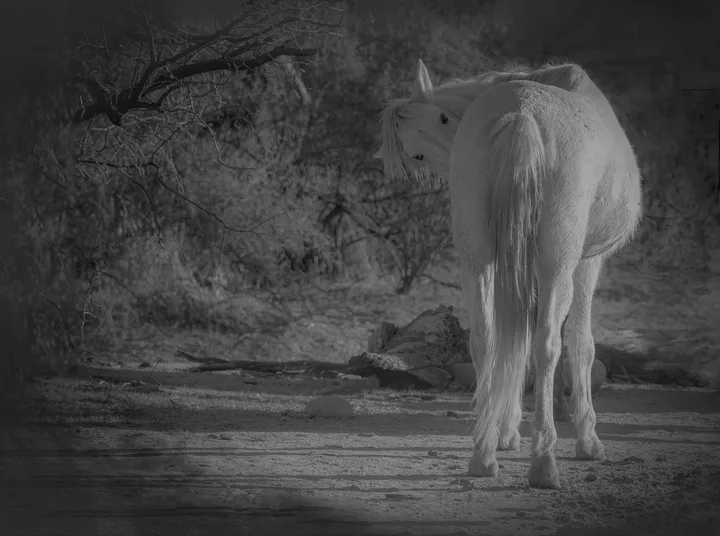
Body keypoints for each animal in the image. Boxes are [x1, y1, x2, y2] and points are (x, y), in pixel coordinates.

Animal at [374, 59, 642, 489]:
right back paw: (544, 460)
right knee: (547, 343)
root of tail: (522, 114)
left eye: (441, 119)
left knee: (486, 340)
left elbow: (513, 336)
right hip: (558, 264)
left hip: (477, 260)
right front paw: (587, 439)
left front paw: (506, 430)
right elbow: (578, 344)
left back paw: (483, 453)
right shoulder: (586, 263)